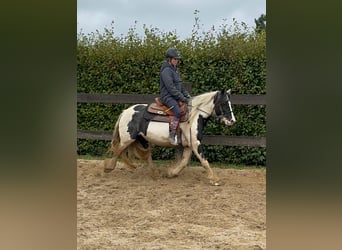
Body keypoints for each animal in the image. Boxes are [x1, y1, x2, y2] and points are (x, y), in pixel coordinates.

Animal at [103, 89, 235, 185]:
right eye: (224, 103)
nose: (232, 121)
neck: (193, 116)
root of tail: (125, 112)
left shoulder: (188, 145)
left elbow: (184, 162)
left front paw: (171, 173)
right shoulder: (195, 143)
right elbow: (204, 161)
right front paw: (215, 179)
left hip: (142, 139)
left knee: (145, 155)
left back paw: (155, 174)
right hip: (128, 138)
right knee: (118, 150)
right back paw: (108, 168)